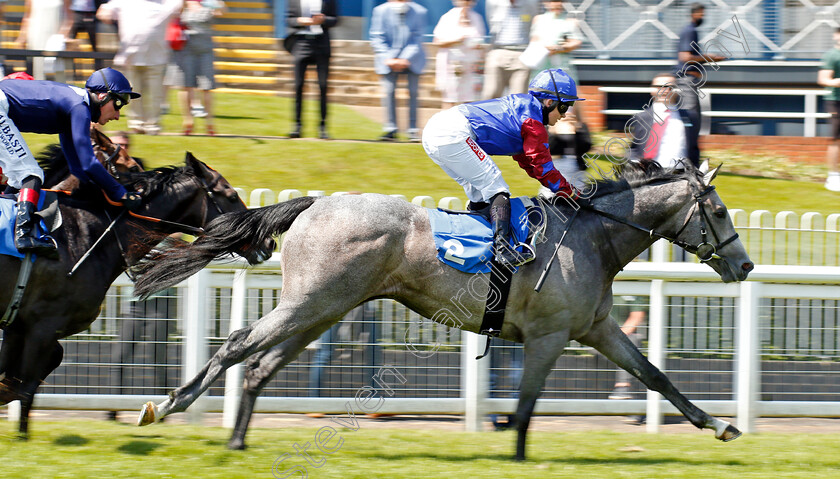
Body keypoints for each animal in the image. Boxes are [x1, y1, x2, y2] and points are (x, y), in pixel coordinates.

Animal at [0, 147, 249, 438]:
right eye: (231, 196)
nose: (267, 241)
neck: (83, 235)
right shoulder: (42, 325)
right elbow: (27, 384)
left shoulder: (21, 323)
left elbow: (25, 372)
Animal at [133, 162, 756, 462]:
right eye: (721, 211)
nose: (746, 265)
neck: (593, 236)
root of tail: (315, 204)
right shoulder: (549, 335)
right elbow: (525, 405)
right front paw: (517, 453)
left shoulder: (596, 329)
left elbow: (657, 377)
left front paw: (722, 425)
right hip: (309, 303)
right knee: (239, 342)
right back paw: (168, 404)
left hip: (321, 308)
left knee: (261, 364)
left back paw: (237, 439)